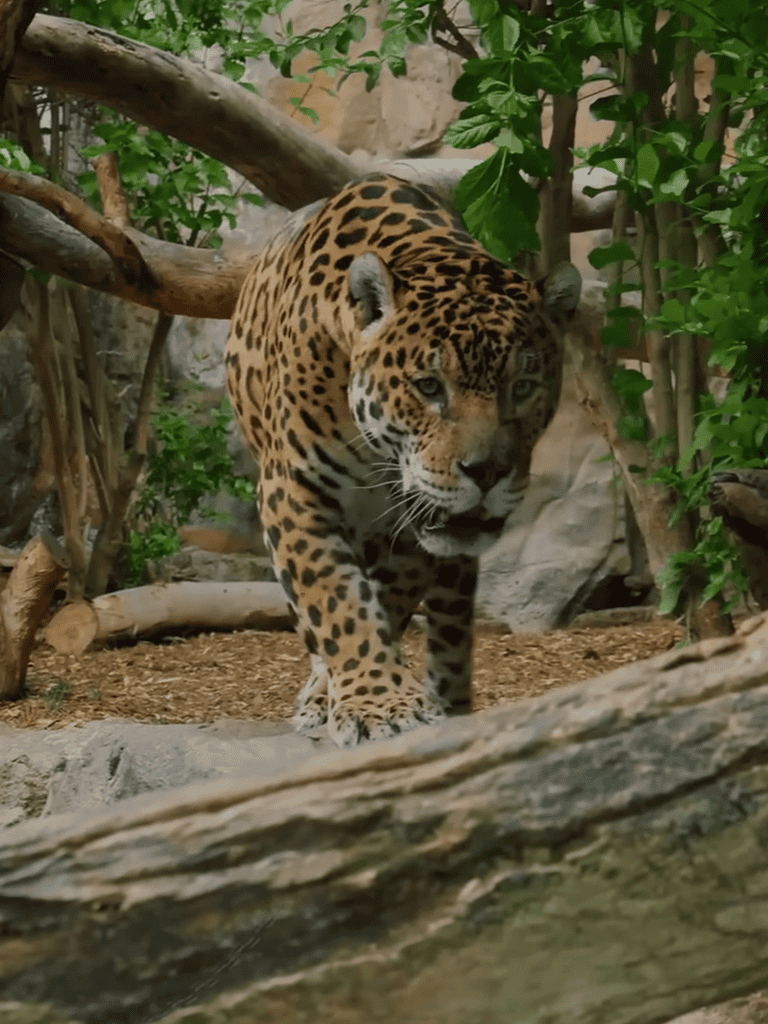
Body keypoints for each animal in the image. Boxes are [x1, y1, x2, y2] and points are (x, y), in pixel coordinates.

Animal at [225, 172, 580, 747]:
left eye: (524, 387)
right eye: (429, 387)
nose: (485, 472)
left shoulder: (411, 526)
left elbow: (382, 600)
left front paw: (381, 698)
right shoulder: (293, 490)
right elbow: (336, 598)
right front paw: (378, 702)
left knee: (450, 625)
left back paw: (448, 702)